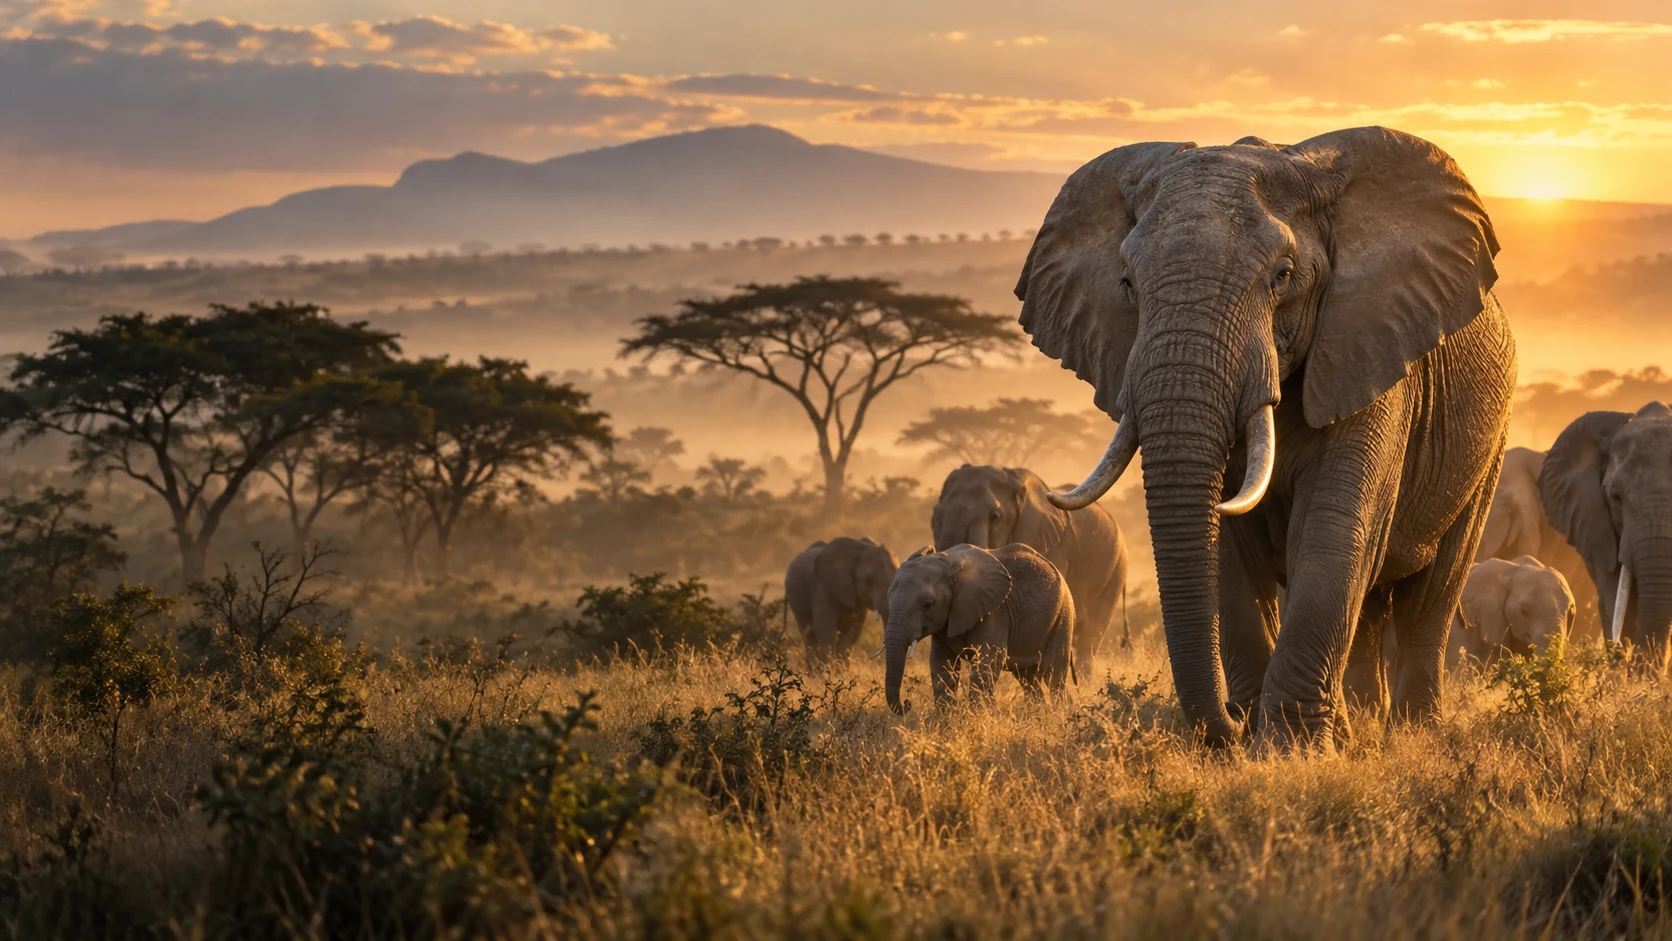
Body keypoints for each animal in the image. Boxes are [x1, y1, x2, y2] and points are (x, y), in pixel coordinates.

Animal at [882, 543, 1075, 714]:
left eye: (928, 604)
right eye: (888, 598)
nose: (907, 704)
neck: (947, 561)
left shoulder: (994, 610)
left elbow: (988, 660)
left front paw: (978, 715)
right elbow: (942, 664)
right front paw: (946, 718)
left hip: (1063, 616)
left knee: (1052, 674)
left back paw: (1059, 714)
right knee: (1026, 677)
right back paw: (1039, 714)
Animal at [1014, 126, 1516, 750]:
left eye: (1282, 276)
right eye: (1127, 284)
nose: (1227, 722)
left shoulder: (1367, 349)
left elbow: (1331, 529)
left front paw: (1292, 750)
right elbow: (1229, 552)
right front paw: (1257, 741)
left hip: (1489, 445)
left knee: (1432, 591)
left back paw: (1410, 733)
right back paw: (1357, 723)